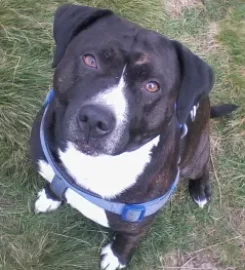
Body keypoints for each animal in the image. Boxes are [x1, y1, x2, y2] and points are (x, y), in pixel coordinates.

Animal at [29, 3, 237, 268]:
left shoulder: (140, 221)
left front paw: (117, 256)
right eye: (90, 60)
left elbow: (130, 238)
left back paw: (200, 190)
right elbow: (55, 184)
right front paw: (51, 196)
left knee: (204, 163)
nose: (95, 119)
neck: (91, 164)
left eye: (152, 86)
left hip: (196, 154)